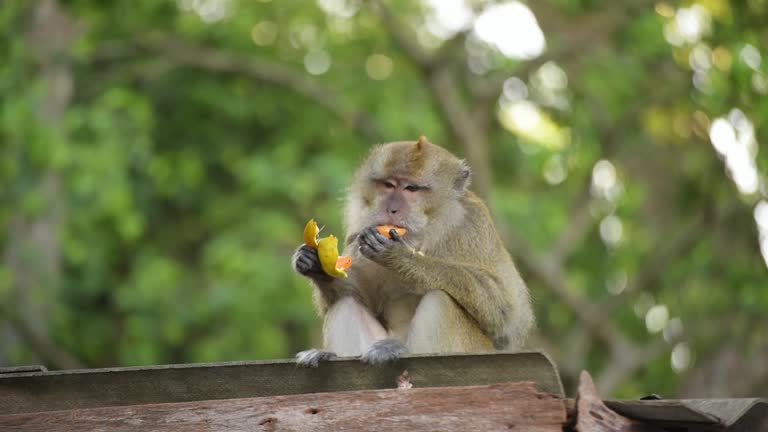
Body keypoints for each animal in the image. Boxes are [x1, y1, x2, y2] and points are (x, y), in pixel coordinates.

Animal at [292, 135, 532, 364]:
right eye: (389, 185)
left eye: (412, 189)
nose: (392, 209)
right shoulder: (357, 234)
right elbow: (360, 297)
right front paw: (315, 264)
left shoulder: (471, 224)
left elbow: (506, 314)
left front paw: (401, 258)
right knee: (346, 305)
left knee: (440, 300)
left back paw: (397, 349)